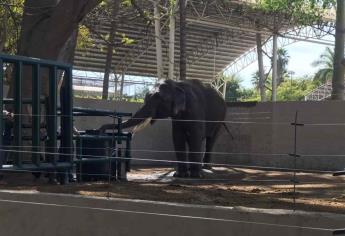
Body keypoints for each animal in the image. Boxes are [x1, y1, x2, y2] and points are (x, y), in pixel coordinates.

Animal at [98, 78, 227, 178]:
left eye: (158, 99)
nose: (101, 129)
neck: (177, 84)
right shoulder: (177, 117)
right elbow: (177, 137)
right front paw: (179, 175)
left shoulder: (195, 109)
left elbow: (195, 137)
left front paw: (195, 176)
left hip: (220, 118)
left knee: (210, 140)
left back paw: (206, 167)